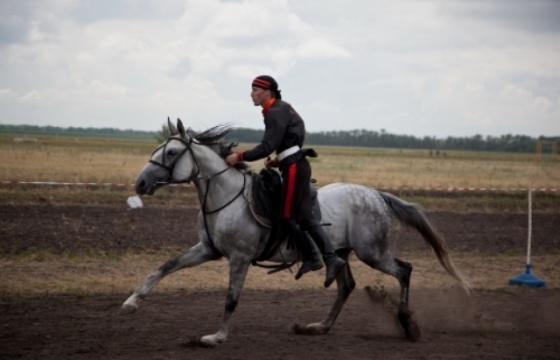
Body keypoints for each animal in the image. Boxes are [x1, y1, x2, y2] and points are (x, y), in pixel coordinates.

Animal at [122, 119, 468, 348]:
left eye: (171, 153)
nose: (140, 183)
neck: (225, 195)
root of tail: (376, 195)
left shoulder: (240, 258)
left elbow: (232, 298)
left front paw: (217, 336)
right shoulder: (207, 249)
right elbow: (165, 266)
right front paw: (132, 302)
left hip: (373, 253)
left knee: (404, 270)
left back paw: (407, 324)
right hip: (340, 255)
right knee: (346, 285)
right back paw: (319, 327)